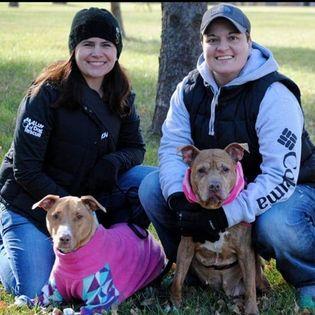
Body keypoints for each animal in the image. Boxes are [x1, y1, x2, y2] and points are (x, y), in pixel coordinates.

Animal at [169, 144, 270, 315]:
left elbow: (250, 287)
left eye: (225, 169)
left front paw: (251, 311)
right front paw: (174, 306)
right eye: (201, 170)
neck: (212, 211)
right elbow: (177, 279)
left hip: (258, 273)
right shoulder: (185, 248)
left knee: (257, 284)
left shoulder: (245, 252)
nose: (214, 185)